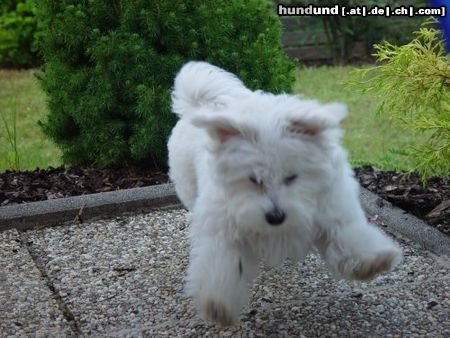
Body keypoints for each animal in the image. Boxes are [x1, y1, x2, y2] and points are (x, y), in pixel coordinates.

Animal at [167, 60, 402, 324]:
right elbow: (223, 263)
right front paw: (218, 303)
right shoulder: (224, 230)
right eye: (254, 179)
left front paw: (371, 261)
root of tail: (198, 104)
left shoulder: (331, 208)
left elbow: (347, 235)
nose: (275, 217)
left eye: (292, 177)